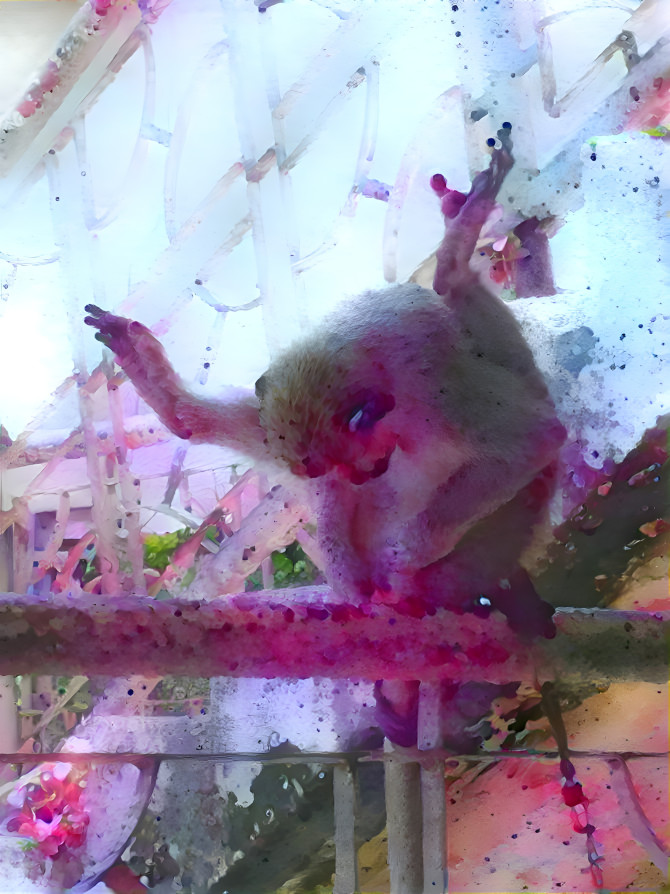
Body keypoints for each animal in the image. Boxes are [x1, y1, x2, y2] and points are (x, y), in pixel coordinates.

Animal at [85, 147, 565, 630]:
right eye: (339, 465)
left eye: (351, 460)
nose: (357, 474)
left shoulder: (436, 388)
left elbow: (534, 439)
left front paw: (403, 556)